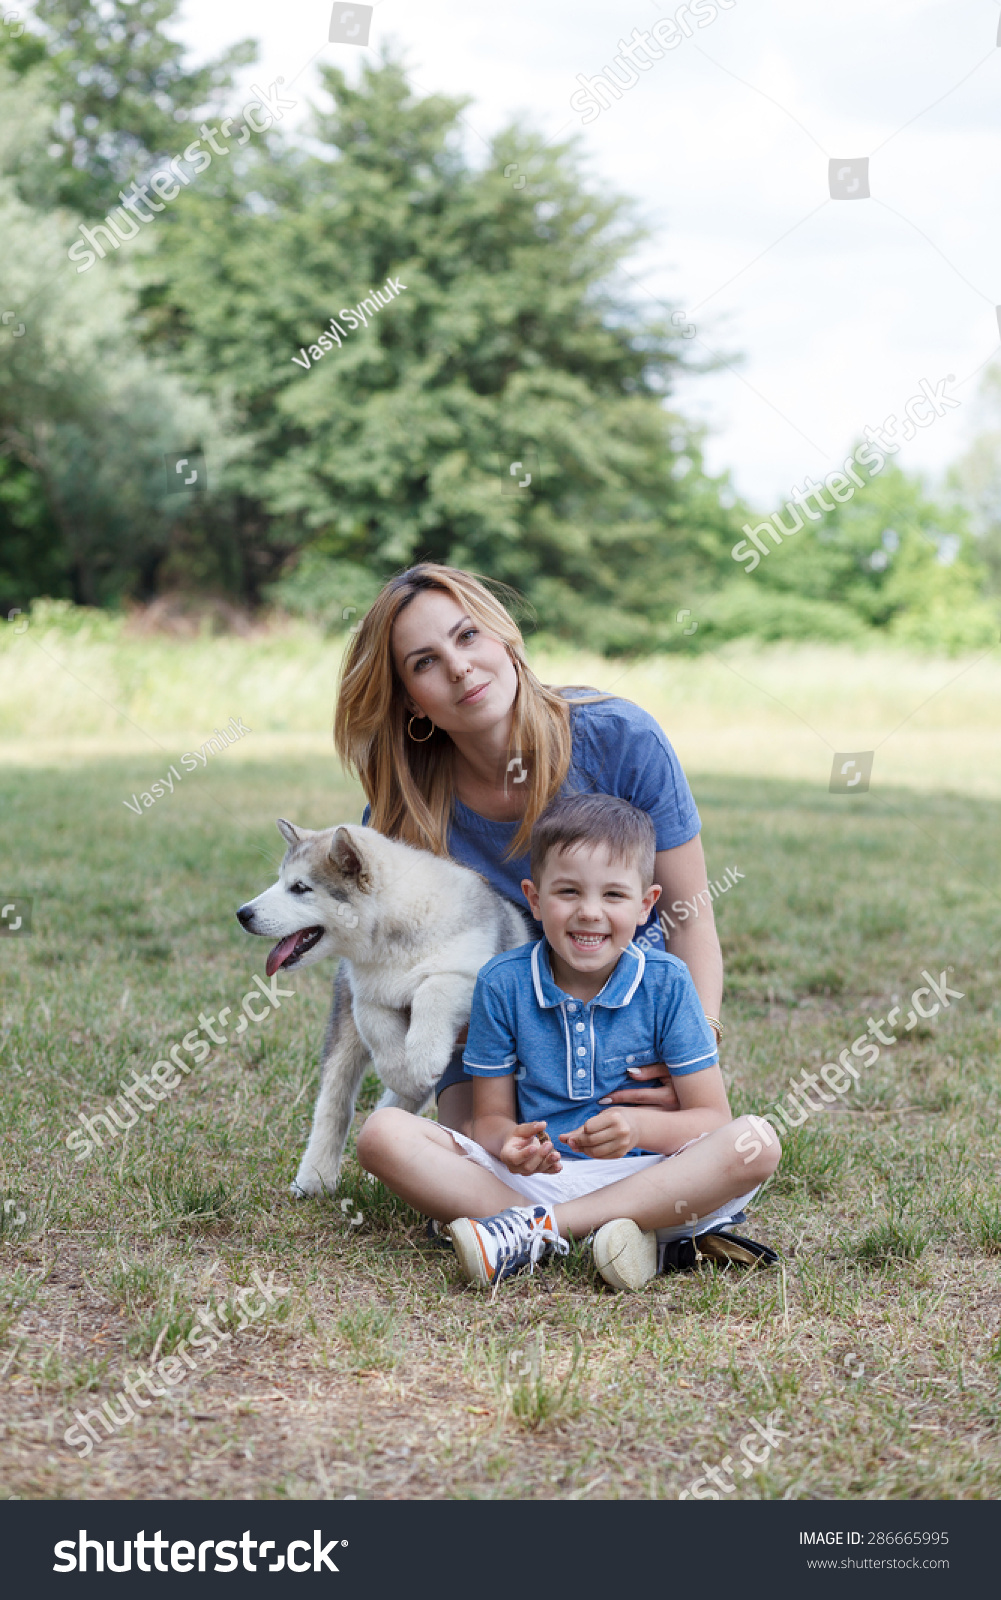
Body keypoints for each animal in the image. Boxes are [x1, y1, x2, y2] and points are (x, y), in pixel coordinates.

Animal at [236, 825, 527, 1203]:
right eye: (281, 880)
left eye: (299, 887)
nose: (242, 913)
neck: (390, 935)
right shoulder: (366, 994)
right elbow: (378, 1029)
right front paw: (400, 1069)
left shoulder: (471, 973)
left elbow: (432, 990)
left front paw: (421, 1057)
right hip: (343, 1028)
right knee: (335, 1103)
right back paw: (315, 1176)